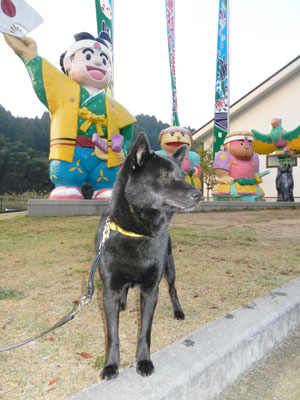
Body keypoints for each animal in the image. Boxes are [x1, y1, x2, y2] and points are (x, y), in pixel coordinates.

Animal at [95, 133, 200, 380]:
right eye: (163, 175)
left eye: (182, 175)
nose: (199, 194)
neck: (137, 231)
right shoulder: (109, 289)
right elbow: (112, 334)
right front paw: (111, 365)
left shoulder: (151, 289)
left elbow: (145, 331)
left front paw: (143, 361)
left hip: (170, 269)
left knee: (173, 289)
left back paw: (178, 311)